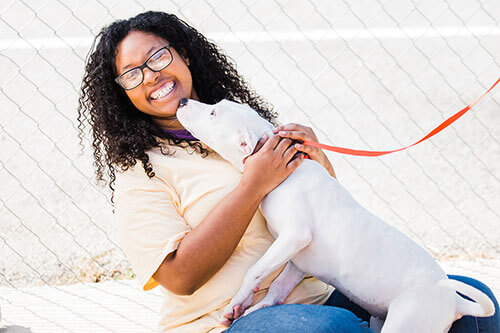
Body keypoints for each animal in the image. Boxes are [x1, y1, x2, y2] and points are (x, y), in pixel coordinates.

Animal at [176, 97, 496, 330]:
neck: (285, 173)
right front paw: (254, 307)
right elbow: (278, 286)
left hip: (408, 322)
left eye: (214, 113)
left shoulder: (295, 236)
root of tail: (454, 302)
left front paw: (238, 302)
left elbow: (254, 270)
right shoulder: (298, 257)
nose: (181, 101)